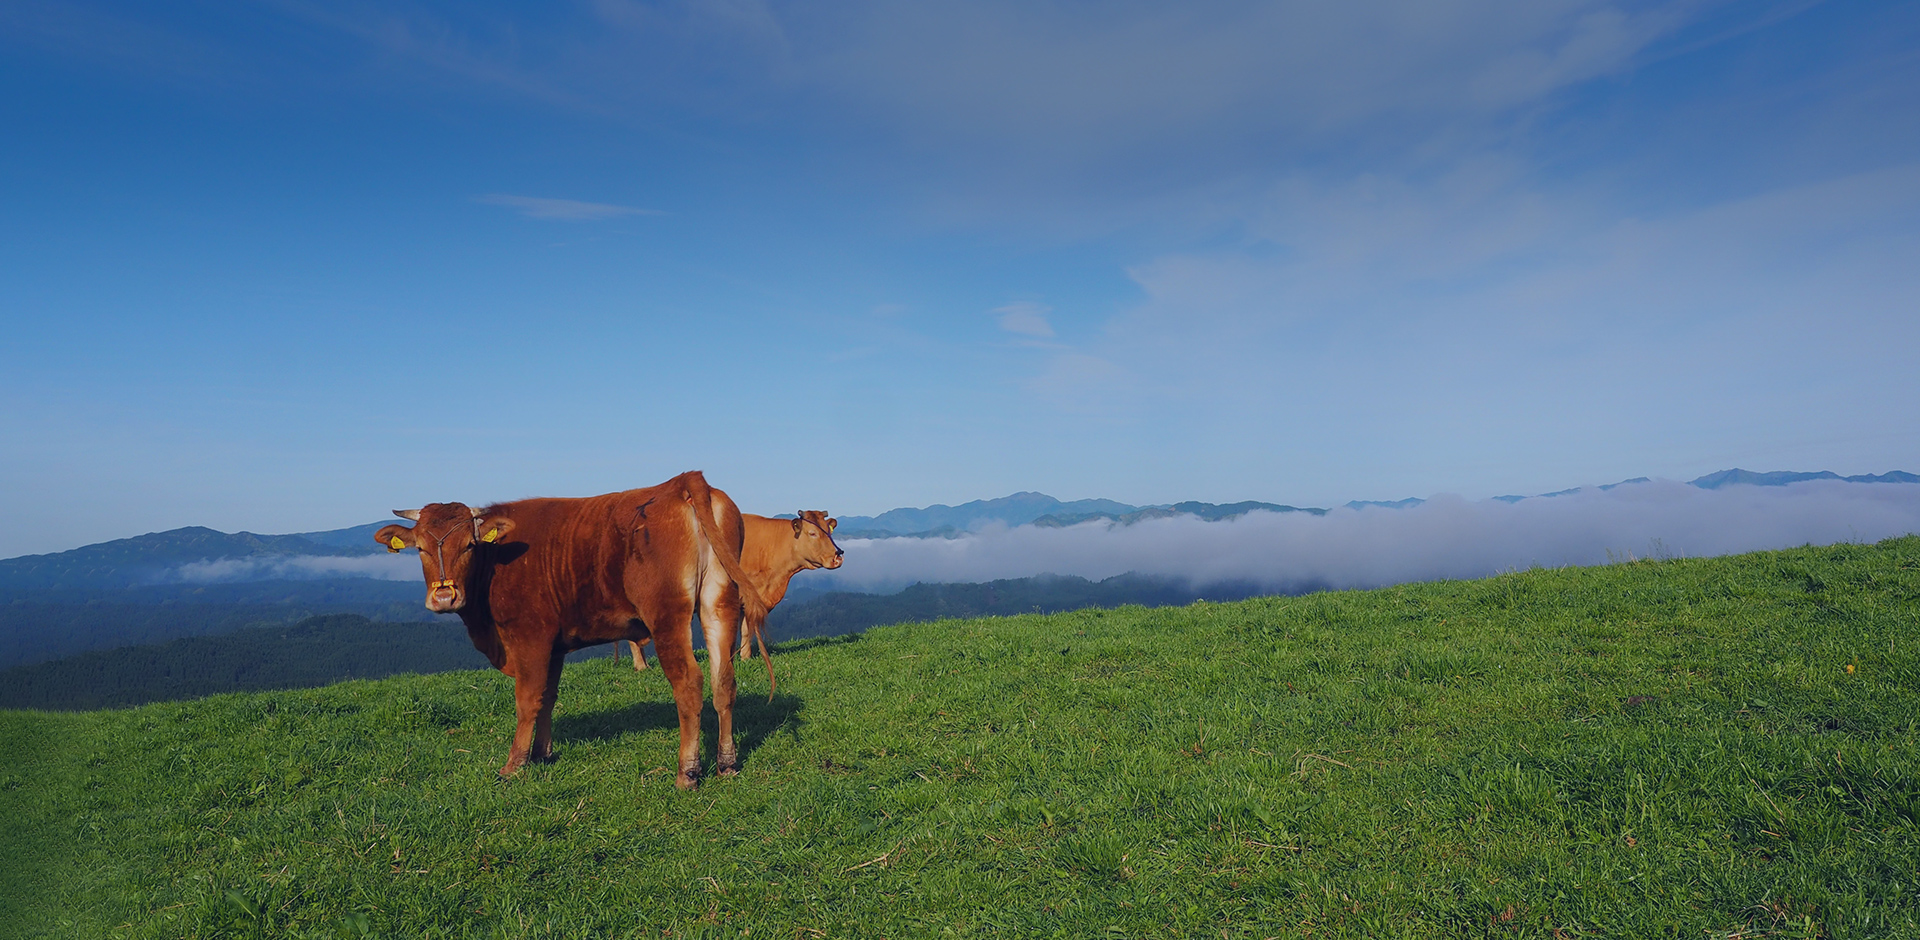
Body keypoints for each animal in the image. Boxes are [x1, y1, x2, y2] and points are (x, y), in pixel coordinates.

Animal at [370, 473, 768, 790]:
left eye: (469, 545)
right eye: (421, 548)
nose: (444, 596)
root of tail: (681, 482)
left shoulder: (530, 636)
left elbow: (527, 700)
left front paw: (515, 763)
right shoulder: (555, 646)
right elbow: (548, 697)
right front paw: (543, 754)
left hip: (666, 614)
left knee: (689, 683)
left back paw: (687, 772)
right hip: (719, 605)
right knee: (724, 680)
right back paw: (727, 763)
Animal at [625, 510, 844, 671]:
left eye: (829, 531)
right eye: (812, 533)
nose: (837, 556)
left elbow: (744, 629)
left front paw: (740, 656)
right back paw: (642, 667)